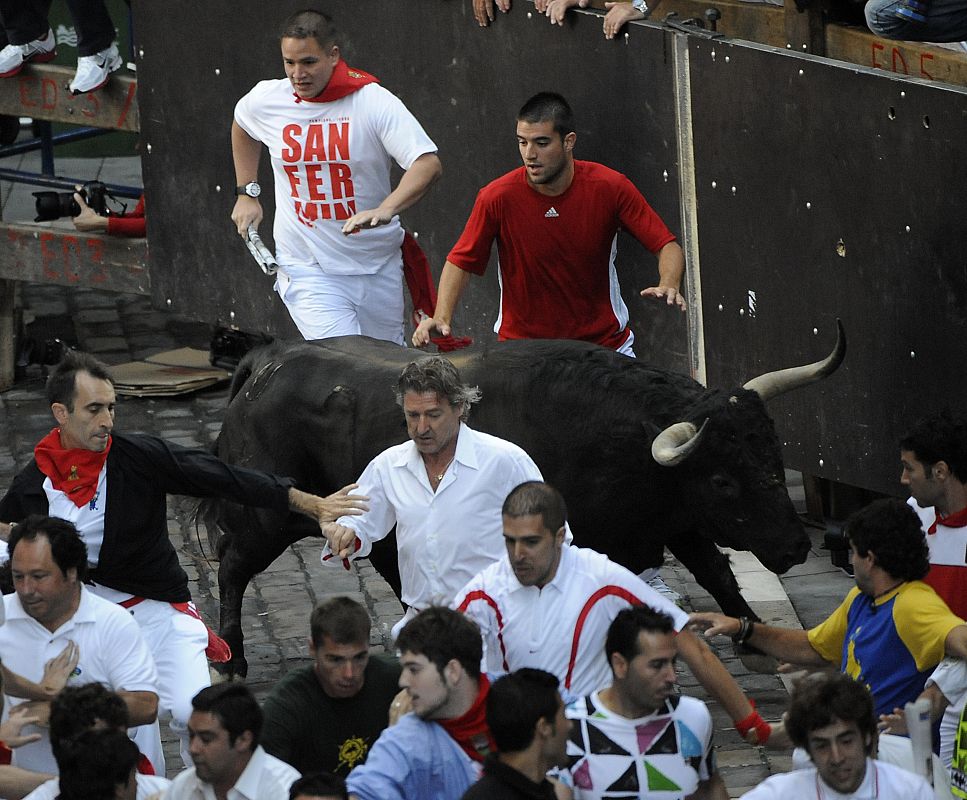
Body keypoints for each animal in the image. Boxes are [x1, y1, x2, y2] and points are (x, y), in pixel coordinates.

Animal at [200, 324, 844, 676]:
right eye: (724, 480)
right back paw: (232, 659)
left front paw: (753, 637)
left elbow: (716, 572)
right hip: (265, 515)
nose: (794, 547)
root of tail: (266, 359)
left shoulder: (674, 519)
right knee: (231, 566)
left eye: (773, 452)